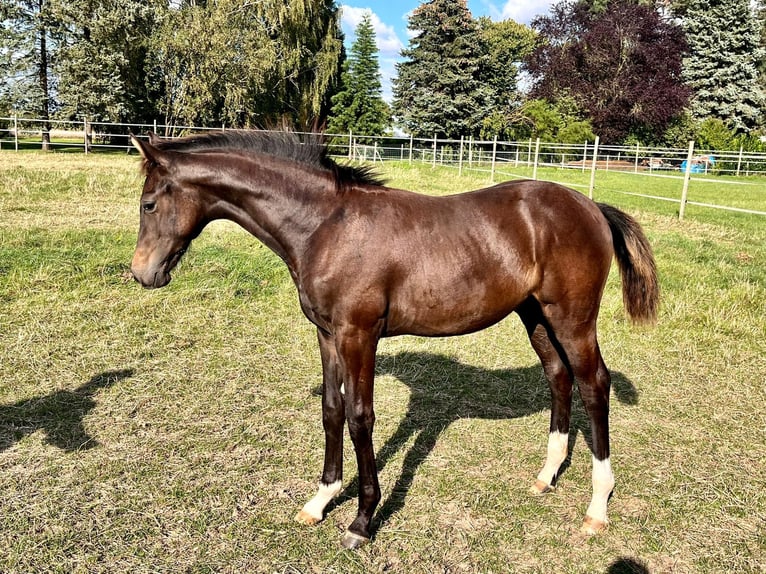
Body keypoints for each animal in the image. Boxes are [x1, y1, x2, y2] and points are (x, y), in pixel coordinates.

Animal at [127, 130, 660, 548]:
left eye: (149, 203)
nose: (142, 274)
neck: (326, 225)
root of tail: (591, 206)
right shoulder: (327, 334)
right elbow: (331, 409)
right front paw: (320, 499)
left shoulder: (359, 336)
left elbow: (360, 418)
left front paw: (362, 520)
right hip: (536, 315)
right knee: (558, 377)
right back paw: (547, 476)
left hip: (572, 318)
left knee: (593, 383)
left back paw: (597, 507)